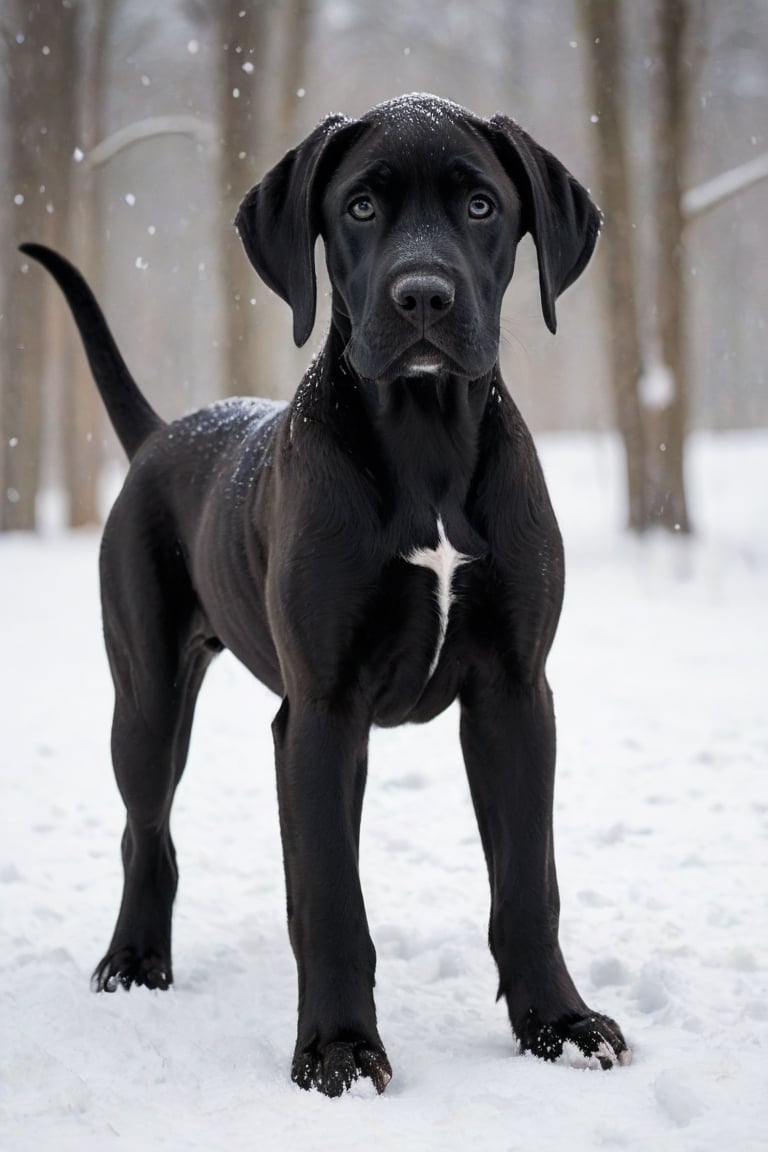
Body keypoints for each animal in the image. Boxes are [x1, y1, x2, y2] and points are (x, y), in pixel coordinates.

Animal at [27, 94, 635, 1092]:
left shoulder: (513, 694)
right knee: (147, 834)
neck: (427, 441)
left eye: (480, 205)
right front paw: (338, 1048)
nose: (422, 295)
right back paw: (133, 963)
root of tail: (162, 433)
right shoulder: (321, 706)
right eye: (360, 207)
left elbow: (526, 882)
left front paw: (560, 1022)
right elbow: (333, 896)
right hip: (147, 698)